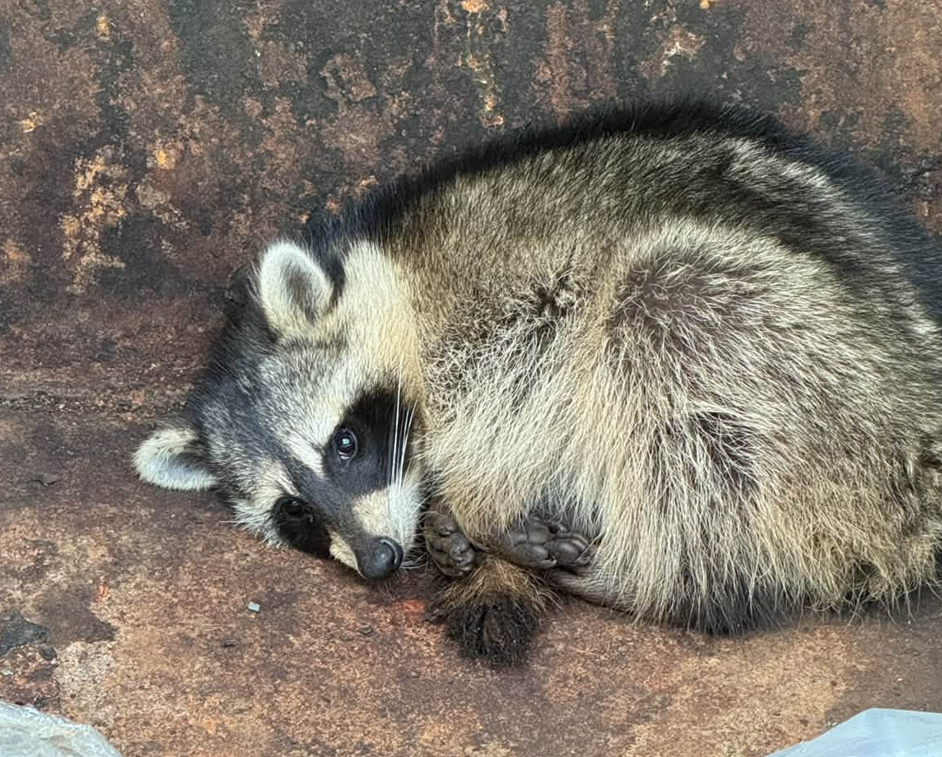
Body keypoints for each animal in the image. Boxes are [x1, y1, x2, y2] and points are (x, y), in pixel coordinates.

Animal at [134, 100, 942, 666]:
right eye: (296, 515)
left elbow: (524, 383)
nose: (380, 560)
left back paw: (671, 579)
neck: (389, 283)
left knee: (663, 320)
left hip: (805, 362)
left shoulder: (508, 297)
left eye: (344, 443)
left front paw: (477, 497)